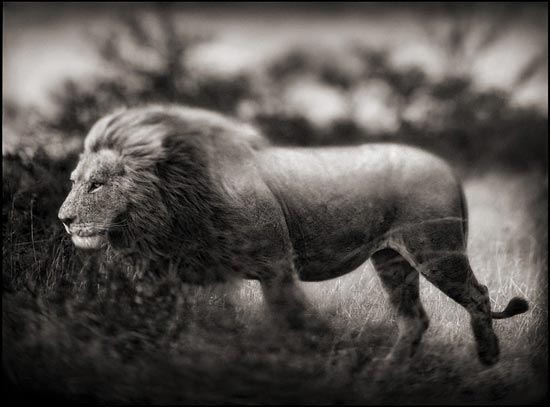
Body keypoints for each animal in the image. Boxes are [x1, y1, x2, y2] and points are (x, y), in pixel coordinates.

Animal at [59, 106, 532, 366]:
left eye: (97, 185)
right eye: (74, 181)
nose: (63, 219)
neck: (173, 200)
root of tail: (447, 166)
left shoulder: (275, 265)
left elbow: (292, 320)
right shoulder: (163, 274)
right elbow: (160, 320)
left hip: (436, 252)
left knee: (478, 294)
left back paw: (488, 357)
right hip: (392, 261)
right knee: (414, 317)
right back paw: (385, 372)